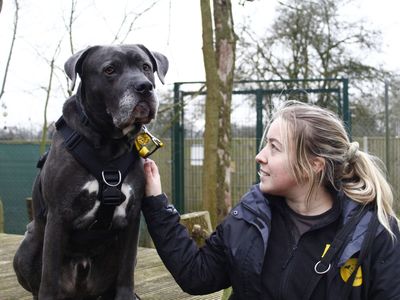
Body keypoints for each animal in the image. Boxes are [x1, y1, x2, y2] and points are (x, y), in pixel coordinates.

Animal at [13, 44, 168, 300]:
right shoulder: (58, 216)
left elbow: (126, 270)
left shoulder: (132, 217)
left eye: (146, 67)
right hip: (29, 243)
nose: (144, 87)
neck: (109, 143)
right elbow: (49, 275)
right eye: (109, 69)